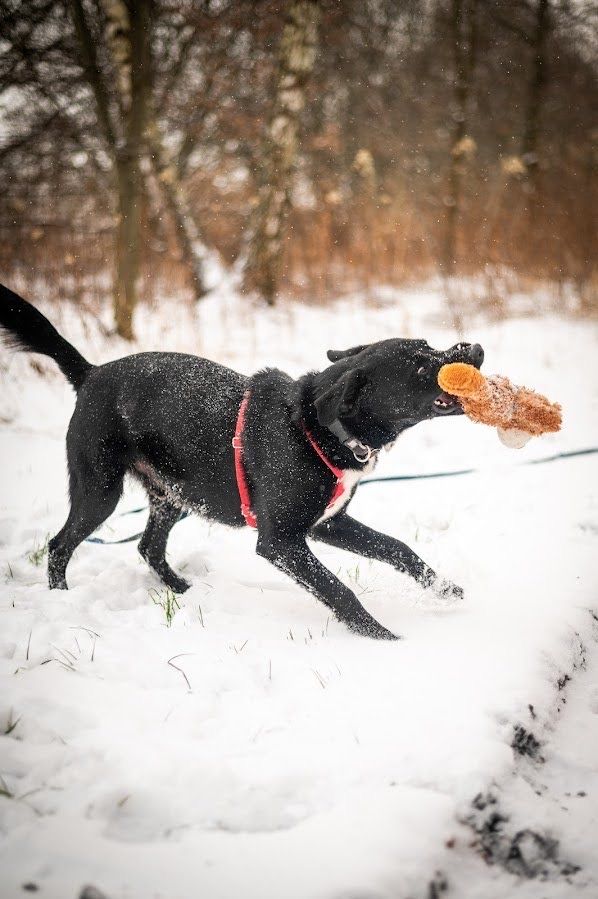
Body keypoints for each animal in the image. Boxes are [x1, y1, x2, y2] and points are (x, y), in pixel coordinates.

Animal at [0, 284, 486, 640]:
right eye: (419, 366)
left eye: (428, 344)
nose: (477, 348)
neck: (316, 429)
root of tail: (91, 373)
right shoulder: (281, 542)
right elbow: (338, 589)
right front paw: (381, 637)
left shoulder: (328, 524)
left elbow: (399, 548)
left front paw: (446, 590)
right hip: (100, 489)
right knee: (59, 545)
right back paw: (62, 599)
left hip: (174, 495)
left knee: (147, 546)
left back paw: (183, 590)